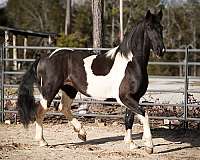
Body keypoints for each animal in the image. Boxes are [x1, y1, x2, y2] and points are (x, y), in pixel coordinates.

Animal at [17, 10, 165, 154]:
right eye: (149, 27)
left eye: (161, 27)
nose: (161, 50)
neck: (131, 64)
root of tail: (44, 57)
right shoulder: (125, 97)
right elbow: (144, 114)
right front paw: (149, 146)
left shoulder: (134, 98)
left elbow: (129, 119)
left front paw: (131, 144)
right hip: (49, 90)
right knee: (40, 111)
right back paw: (42, 141)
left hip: (69, 89)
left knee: (63, 107)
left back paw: (81, 133)